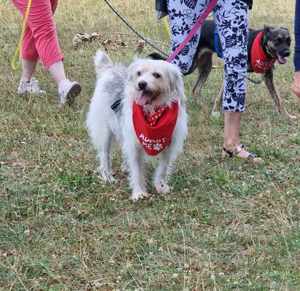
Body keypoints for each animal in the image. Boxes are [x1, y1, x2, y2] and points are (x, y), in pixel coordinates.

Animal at [85, 50, 188, 201]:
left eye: (157, 75)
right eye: (139, 73)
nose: (141, 84)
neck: (152, 114)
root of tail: (110, 69)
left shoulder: (168, 148)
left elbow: (162, 169)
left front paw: (160, 186)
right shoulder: (135, 146)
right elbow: (137, 171)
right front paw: (139, 192)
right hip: (104, 132)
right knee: (104, 155)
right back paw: (107, 176)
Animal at [149, 20, 292, 118]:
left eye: (289, 41)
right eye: (278, 40)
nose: (288, 53)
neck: (260, 46)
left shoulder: (268, 77)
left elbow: (278, 99)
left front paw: (286, 116)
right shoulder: (231, 72)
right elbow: (220, 96)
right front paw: (216, 112)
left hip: (206, 67)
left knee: (196, 89)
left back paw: (201, 107)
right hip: (188, 64)